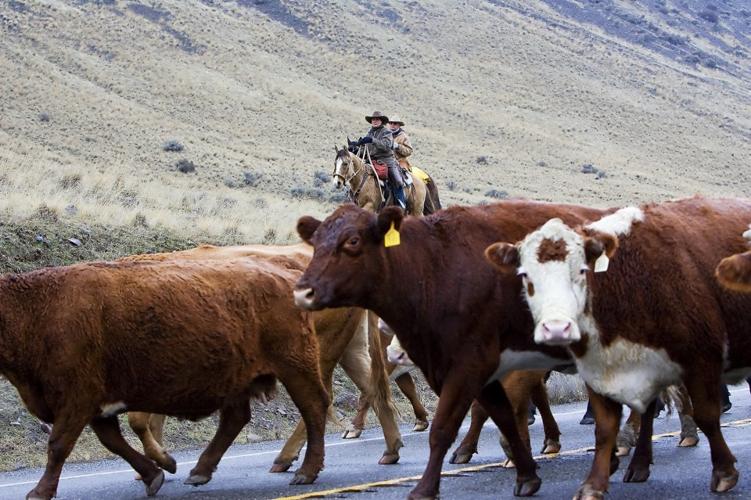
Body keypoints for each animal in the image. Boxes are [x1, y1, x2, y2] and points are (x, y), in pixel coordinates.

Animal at [0, 258, 329, 500]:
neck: (35, 308)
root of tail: (284, 272)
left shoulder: (77, 401)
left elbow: (58, 446)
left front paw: (39, 492)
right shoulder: (96, 406)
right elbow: (113, 442)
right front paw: (156, 474)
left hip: (296, 368)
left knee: (314, 408)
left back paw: (306, 472)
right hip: (238, 379)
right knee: (236, 418)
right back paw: (200, 471)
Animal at [120, 244, 403, 471]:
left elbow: (139, 419)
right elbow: (154, 419)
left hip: (312, 355)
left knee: (323, 398)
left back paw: (285, 458)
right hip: (348, 349)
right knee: (373, 388)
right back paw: (391, 450)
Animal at [293, 201, 614, 498]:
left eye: (353, 241)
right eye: (316, 242)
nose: (302, 291)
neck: (432, 267)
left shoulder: (469, 366)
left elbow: (445, 427)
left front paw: (425, 487)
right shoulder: (463, 369)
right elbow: (503, 416)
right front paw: (527, 476)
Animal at [483, 198, 751, 498]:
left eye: (581, 271)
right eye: (526, 276)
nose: (556, 326)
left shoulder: (699, 360)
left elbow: (707, 416)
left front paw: (724, 473)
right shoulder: (601, 370)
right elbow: (604, 426)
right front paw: (593, 482)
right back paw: (641, 462)